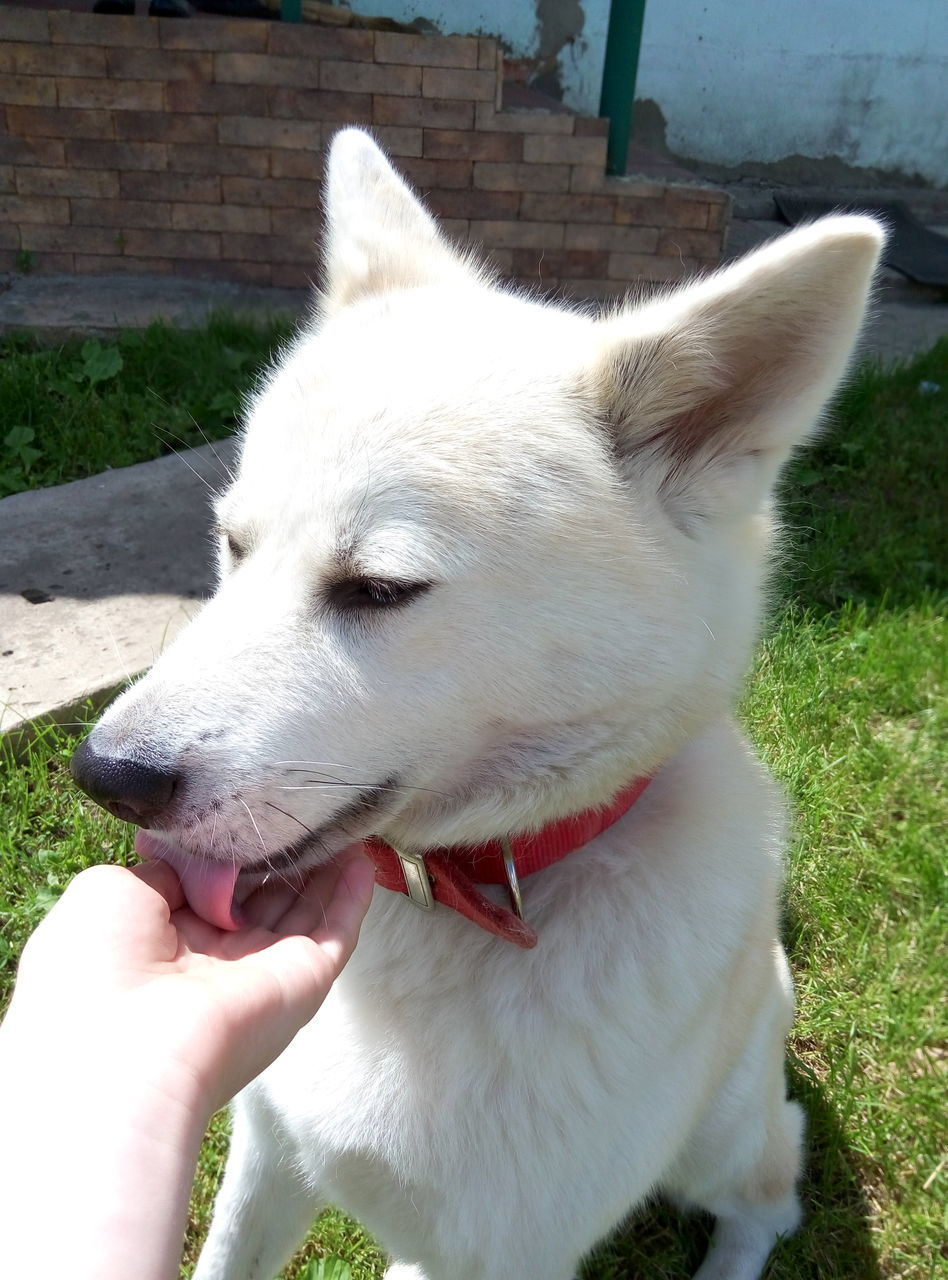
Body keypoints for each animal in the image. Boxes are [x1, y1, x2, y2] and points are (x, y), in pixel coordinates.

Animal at [71, 124, 880, 1274]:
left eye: (378, 588)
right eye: (234, 543)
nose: (107, 777)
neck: (472, 893)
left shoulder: (494, 1250)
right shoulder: (266, 1154)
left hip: (719, 1142)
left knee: (773, 1187)